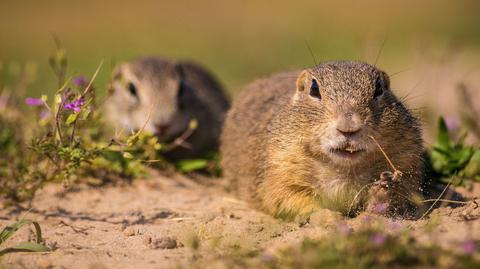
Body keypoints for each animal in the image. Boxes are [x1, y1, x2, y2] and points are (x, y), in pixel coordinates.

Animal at [221, 60, 424, 218]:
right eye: (314, 89)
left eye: (379, 88)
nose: (348, 127)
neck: (344, 171)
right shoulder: (279, 165)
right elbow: (286, 197)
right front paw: (323, 215)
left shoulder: (407, 158)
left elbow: (405, 193)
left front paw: (383, 191)